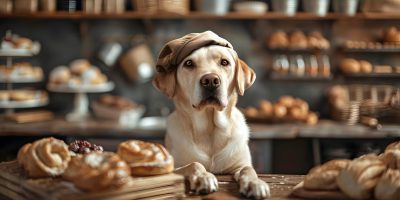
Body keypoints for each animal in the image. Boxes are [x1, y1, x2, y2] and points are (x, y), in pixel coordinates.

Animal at [155, 31, 270, 198]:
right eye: (189, 63)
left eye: (224, 62)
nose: (210, 80)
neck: (210, 130)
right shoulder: (174, 168)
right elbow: (194, 164)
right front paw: (204, 178)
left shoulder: (240, 164)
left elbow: (248, 169)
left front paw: (255, 183)